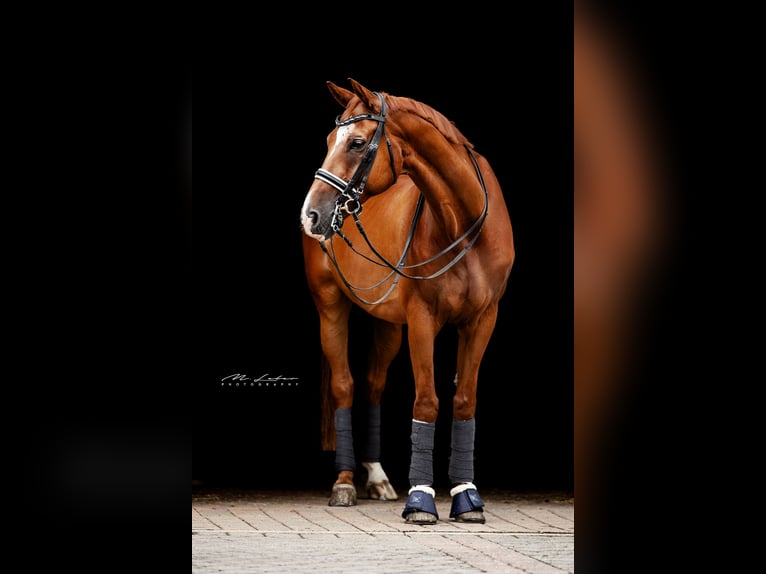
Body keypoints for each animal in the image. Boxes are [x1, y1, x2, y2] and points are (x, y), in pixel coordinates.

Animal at [300, 79, 514, 524]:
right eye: (329, 140)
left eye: (357, 142)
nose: (310, 215)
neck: (464, 226)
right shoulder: (422, 320)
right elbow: (428, 402)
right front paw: (421, 500)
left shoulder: (483, 319)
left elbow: (464, 401)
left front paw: (467, 497)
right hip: (330, 306)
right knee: (345, 386)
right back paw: (345, 483)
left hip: (387, 322)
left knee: (373, 384)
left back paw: (378, 478)